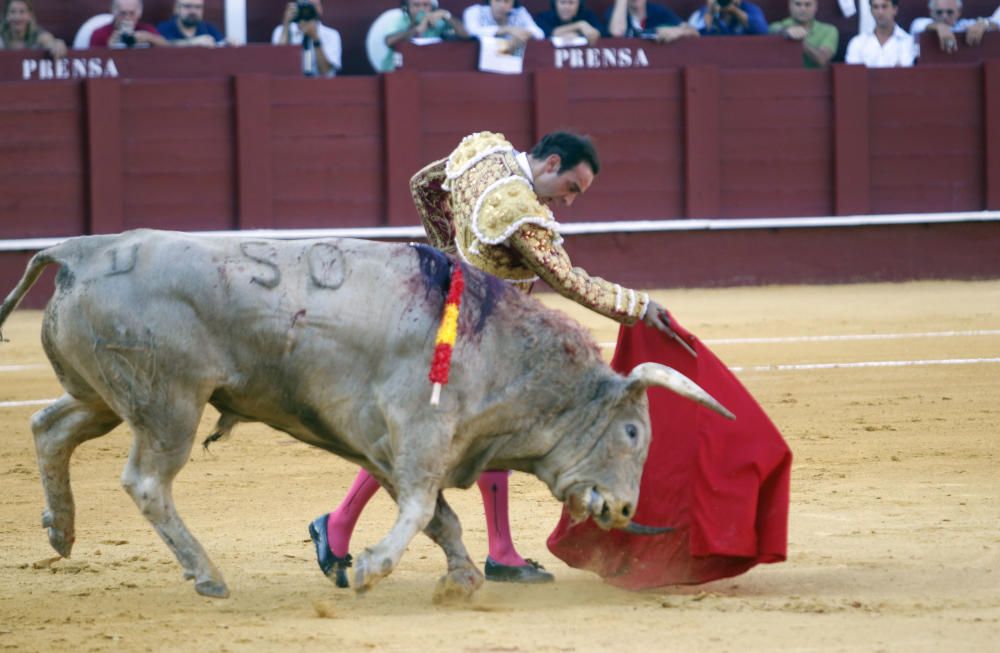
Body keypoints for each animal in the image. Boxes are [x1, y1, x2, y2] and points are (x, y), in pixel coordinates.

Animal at [0, 229, 736, 600]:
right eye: (634, 431)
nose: (623, 508)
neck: (503, 347)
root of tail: (78, 250)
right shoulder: (418, 433)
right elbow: (420, 507)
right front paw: (372, 567)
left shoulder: (381, 446)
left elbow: (441, 517)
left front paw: (460, 578)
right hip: (168, 403)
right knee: (147, 482)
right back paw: (208, 575)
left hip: (103, 396)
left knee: (49, 427)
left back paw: (61, 530)